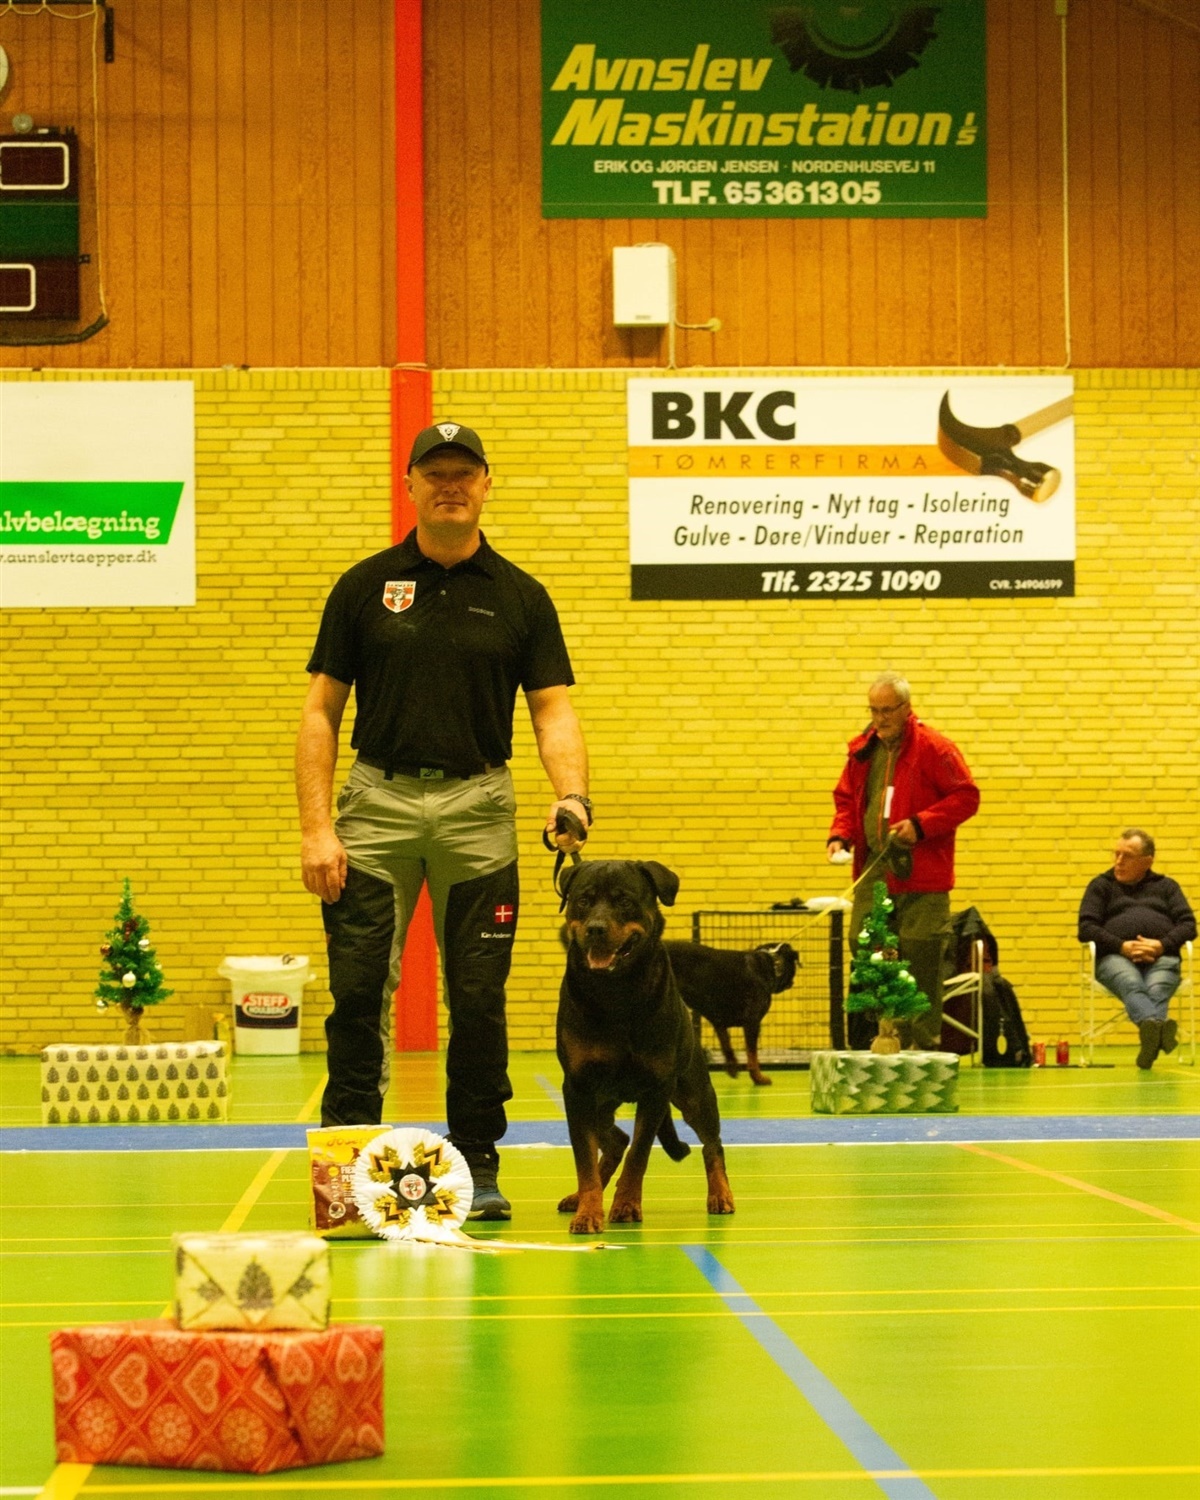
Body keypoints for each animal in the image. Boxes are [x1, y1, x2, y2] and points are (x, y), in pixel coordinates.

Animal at [556, 859, 735, 1235]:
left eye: (624, 901)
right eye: (583, 901)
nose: (595, 929)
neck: (616, 991)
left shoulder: (657, 1088)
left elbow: (639, 1154)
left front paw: (625, 1205)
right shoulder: (578, 1088)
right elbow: (584, 1159)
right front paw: (589, 1212)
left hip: (694, 1092)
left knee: (712, 1144)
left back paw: (721, 1195)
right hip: (599, 1103)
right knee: (614, 1141)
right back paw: (579, 1197)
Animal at [663, 940, 799, 1086]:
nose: (792, 982)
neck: (772, 964)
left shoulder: (719, 1021)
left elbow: (726, 1045)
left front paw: (732, 1065)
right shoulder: (752, 1022)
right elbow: (752, 1054)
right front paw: (757, 1077)